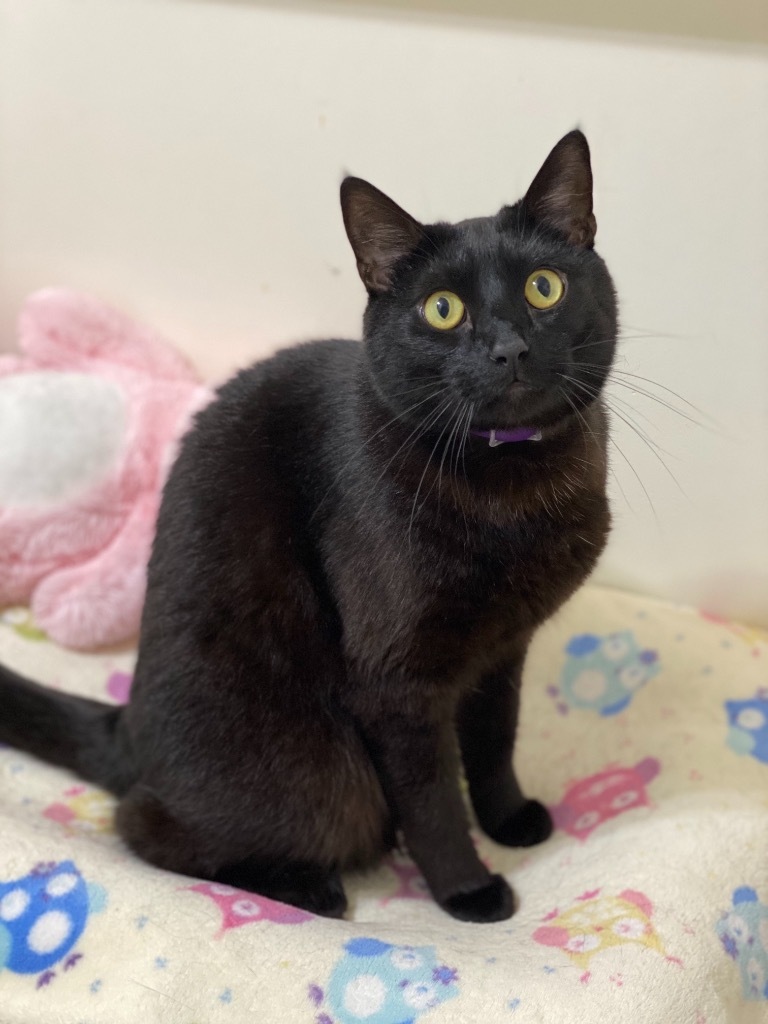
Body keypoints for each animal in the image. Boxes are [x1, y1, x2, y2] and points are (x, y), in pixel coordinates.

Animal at [0, 132, 618, 925]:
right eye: (442, 309)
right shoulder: (395, 683)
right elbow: (432, 799)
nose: (508, 349)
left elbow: (493, 743)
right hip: (321, 770)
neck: (512, 490)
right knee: (147, 825)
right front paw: (468, 890)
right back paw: (308, 889)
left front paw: (508, 820)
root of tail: (128, 726)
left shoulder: (503, 648)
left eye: (545, 288)